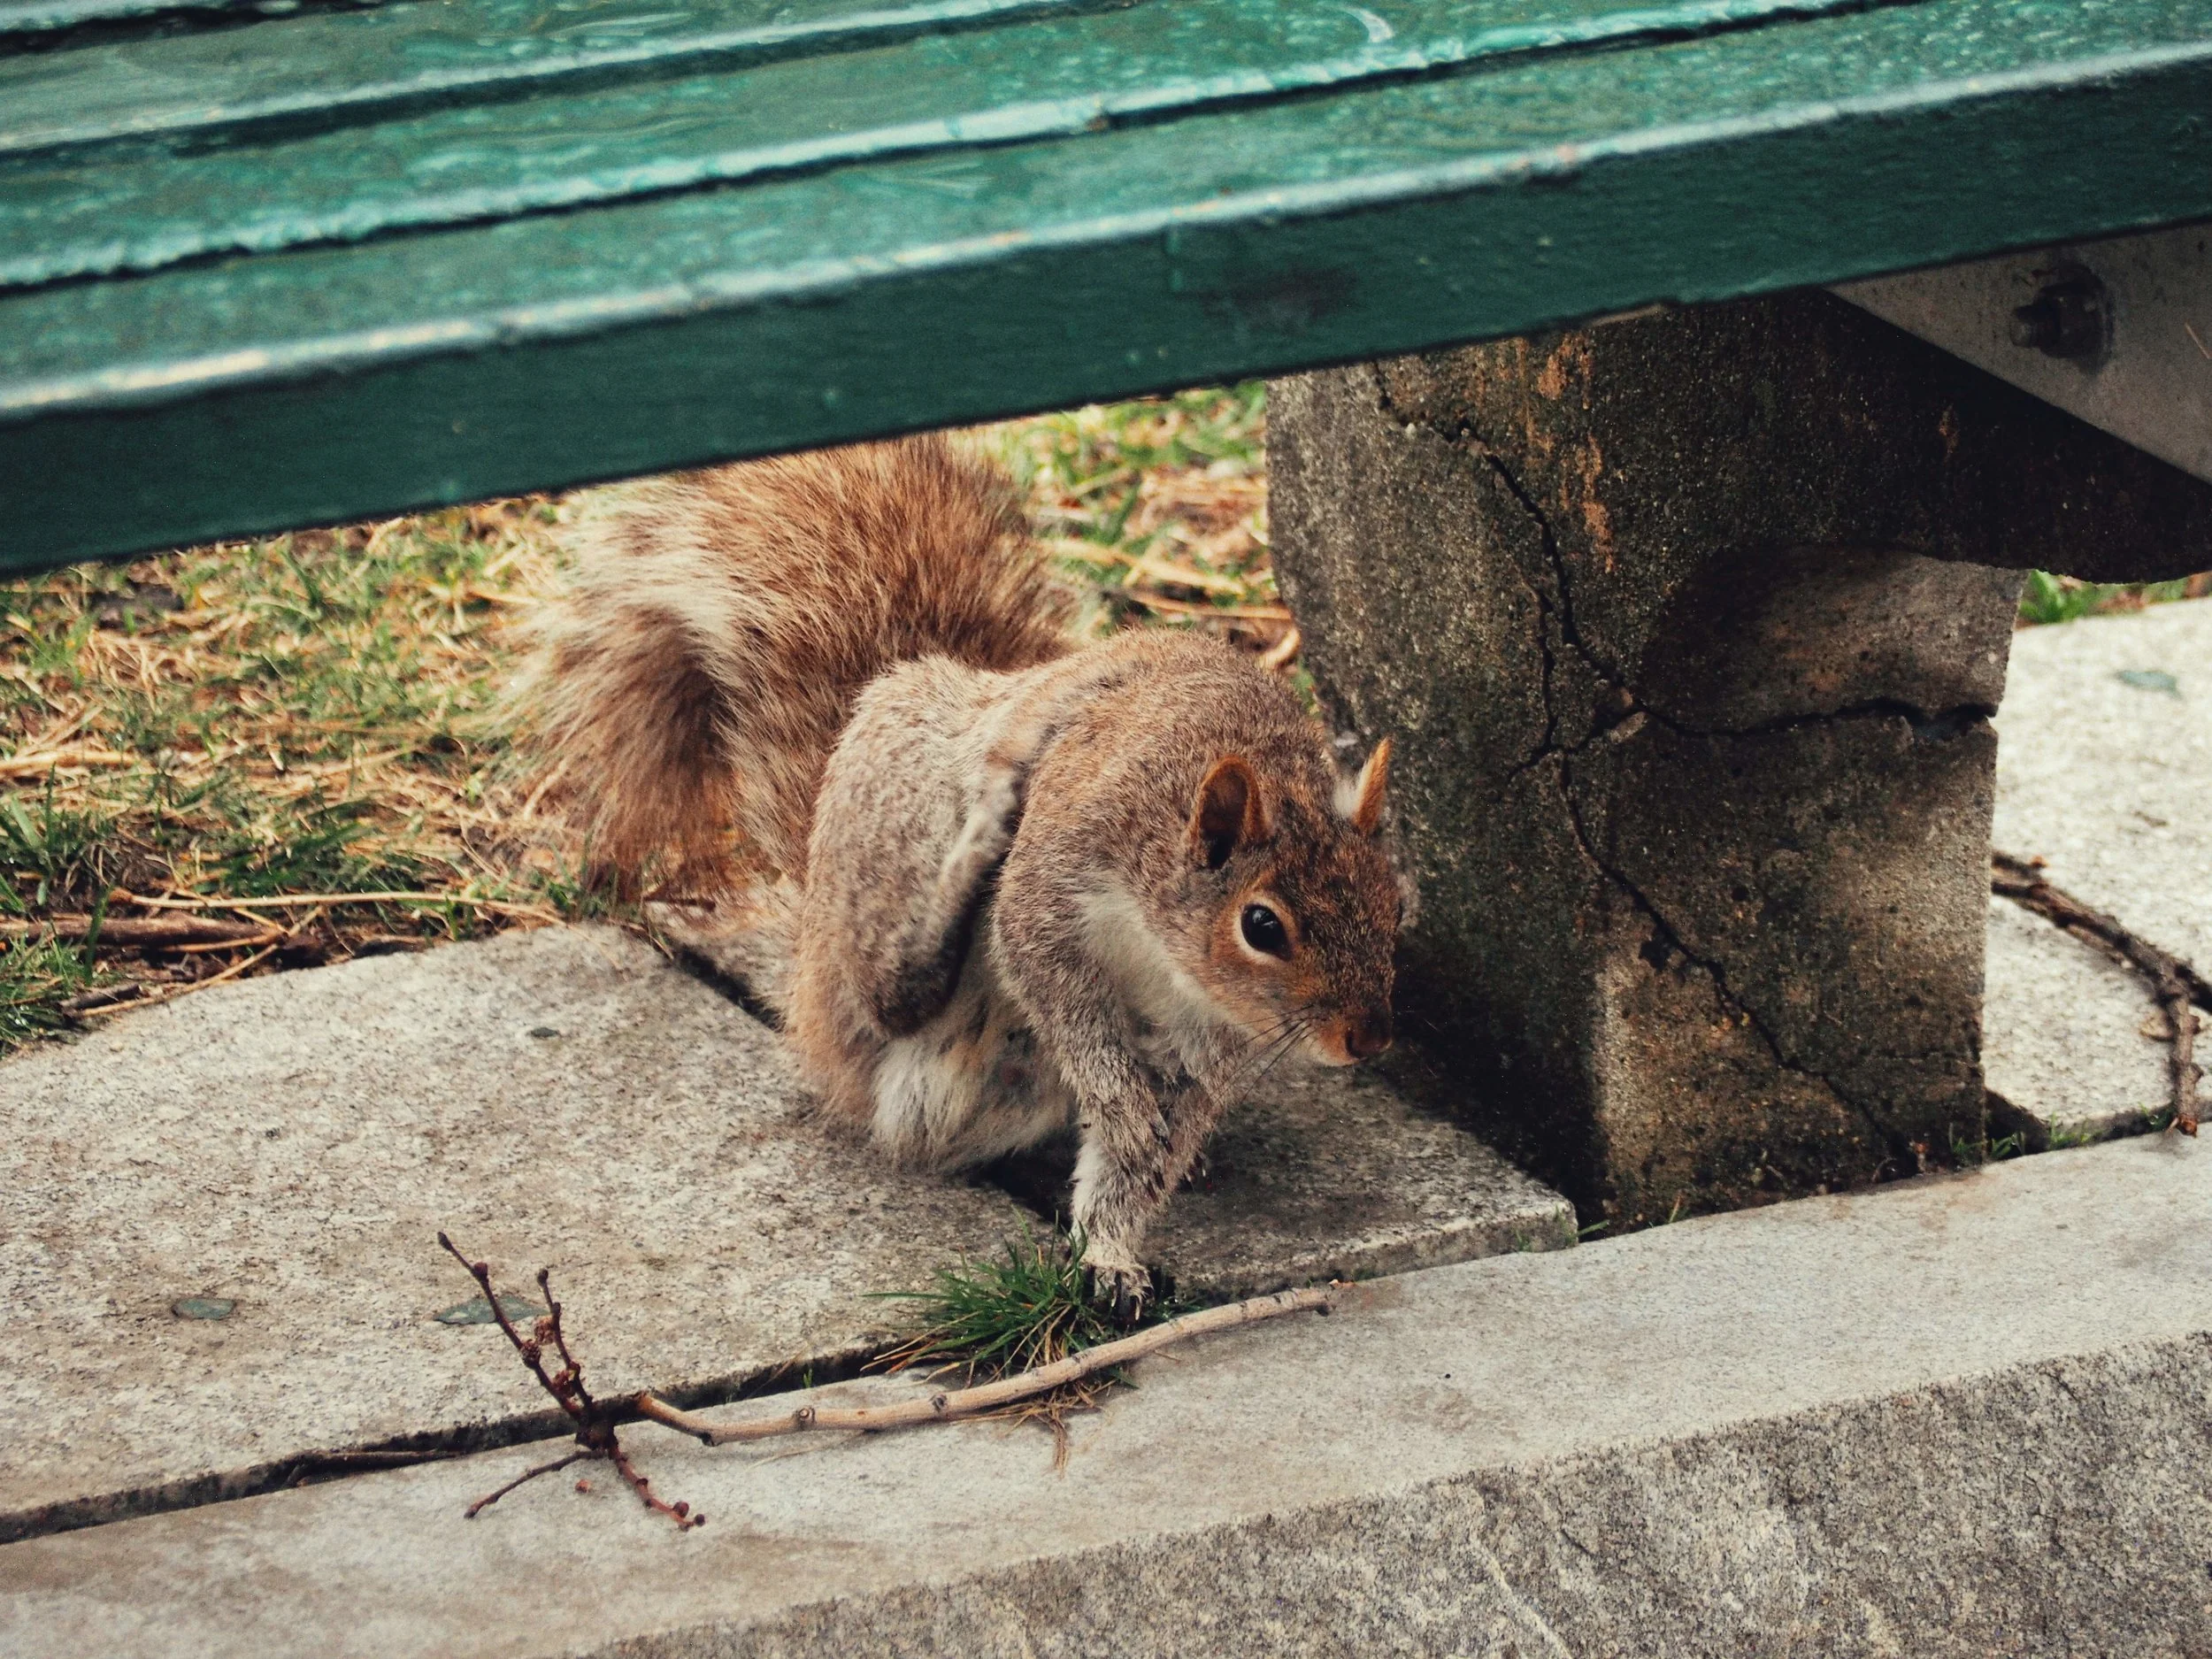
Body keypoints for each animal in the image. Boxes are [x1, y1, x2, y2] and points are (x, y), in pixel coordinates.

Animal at [523, 433, 1404, 1313]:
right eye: (1261, 925)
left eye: (1396, 904)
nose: (1370, 1038)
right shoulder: (1059, 880)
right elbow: (1057, 989)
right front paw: (1120, 1100)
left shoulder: (1207, 1033)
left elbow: (1143, 1149)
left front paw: (1113, 1250)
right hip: (886, 846)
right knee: (893, 993)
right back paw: (973, 852)